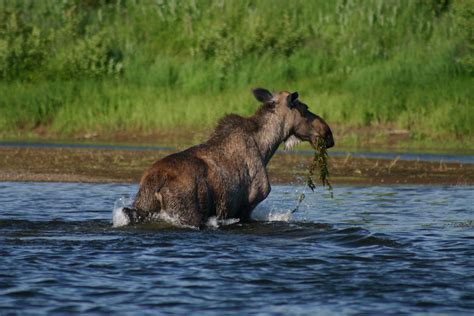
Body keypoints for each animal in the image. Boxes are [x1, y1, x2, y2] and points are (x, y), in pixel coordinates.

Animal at [120, 88, 336, 227]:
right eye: (305, 108)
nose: (328, 134)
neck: (266, 147)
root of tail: (156, 183)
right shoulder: (248, 204)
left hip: (141, 207)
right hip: (186, 213)